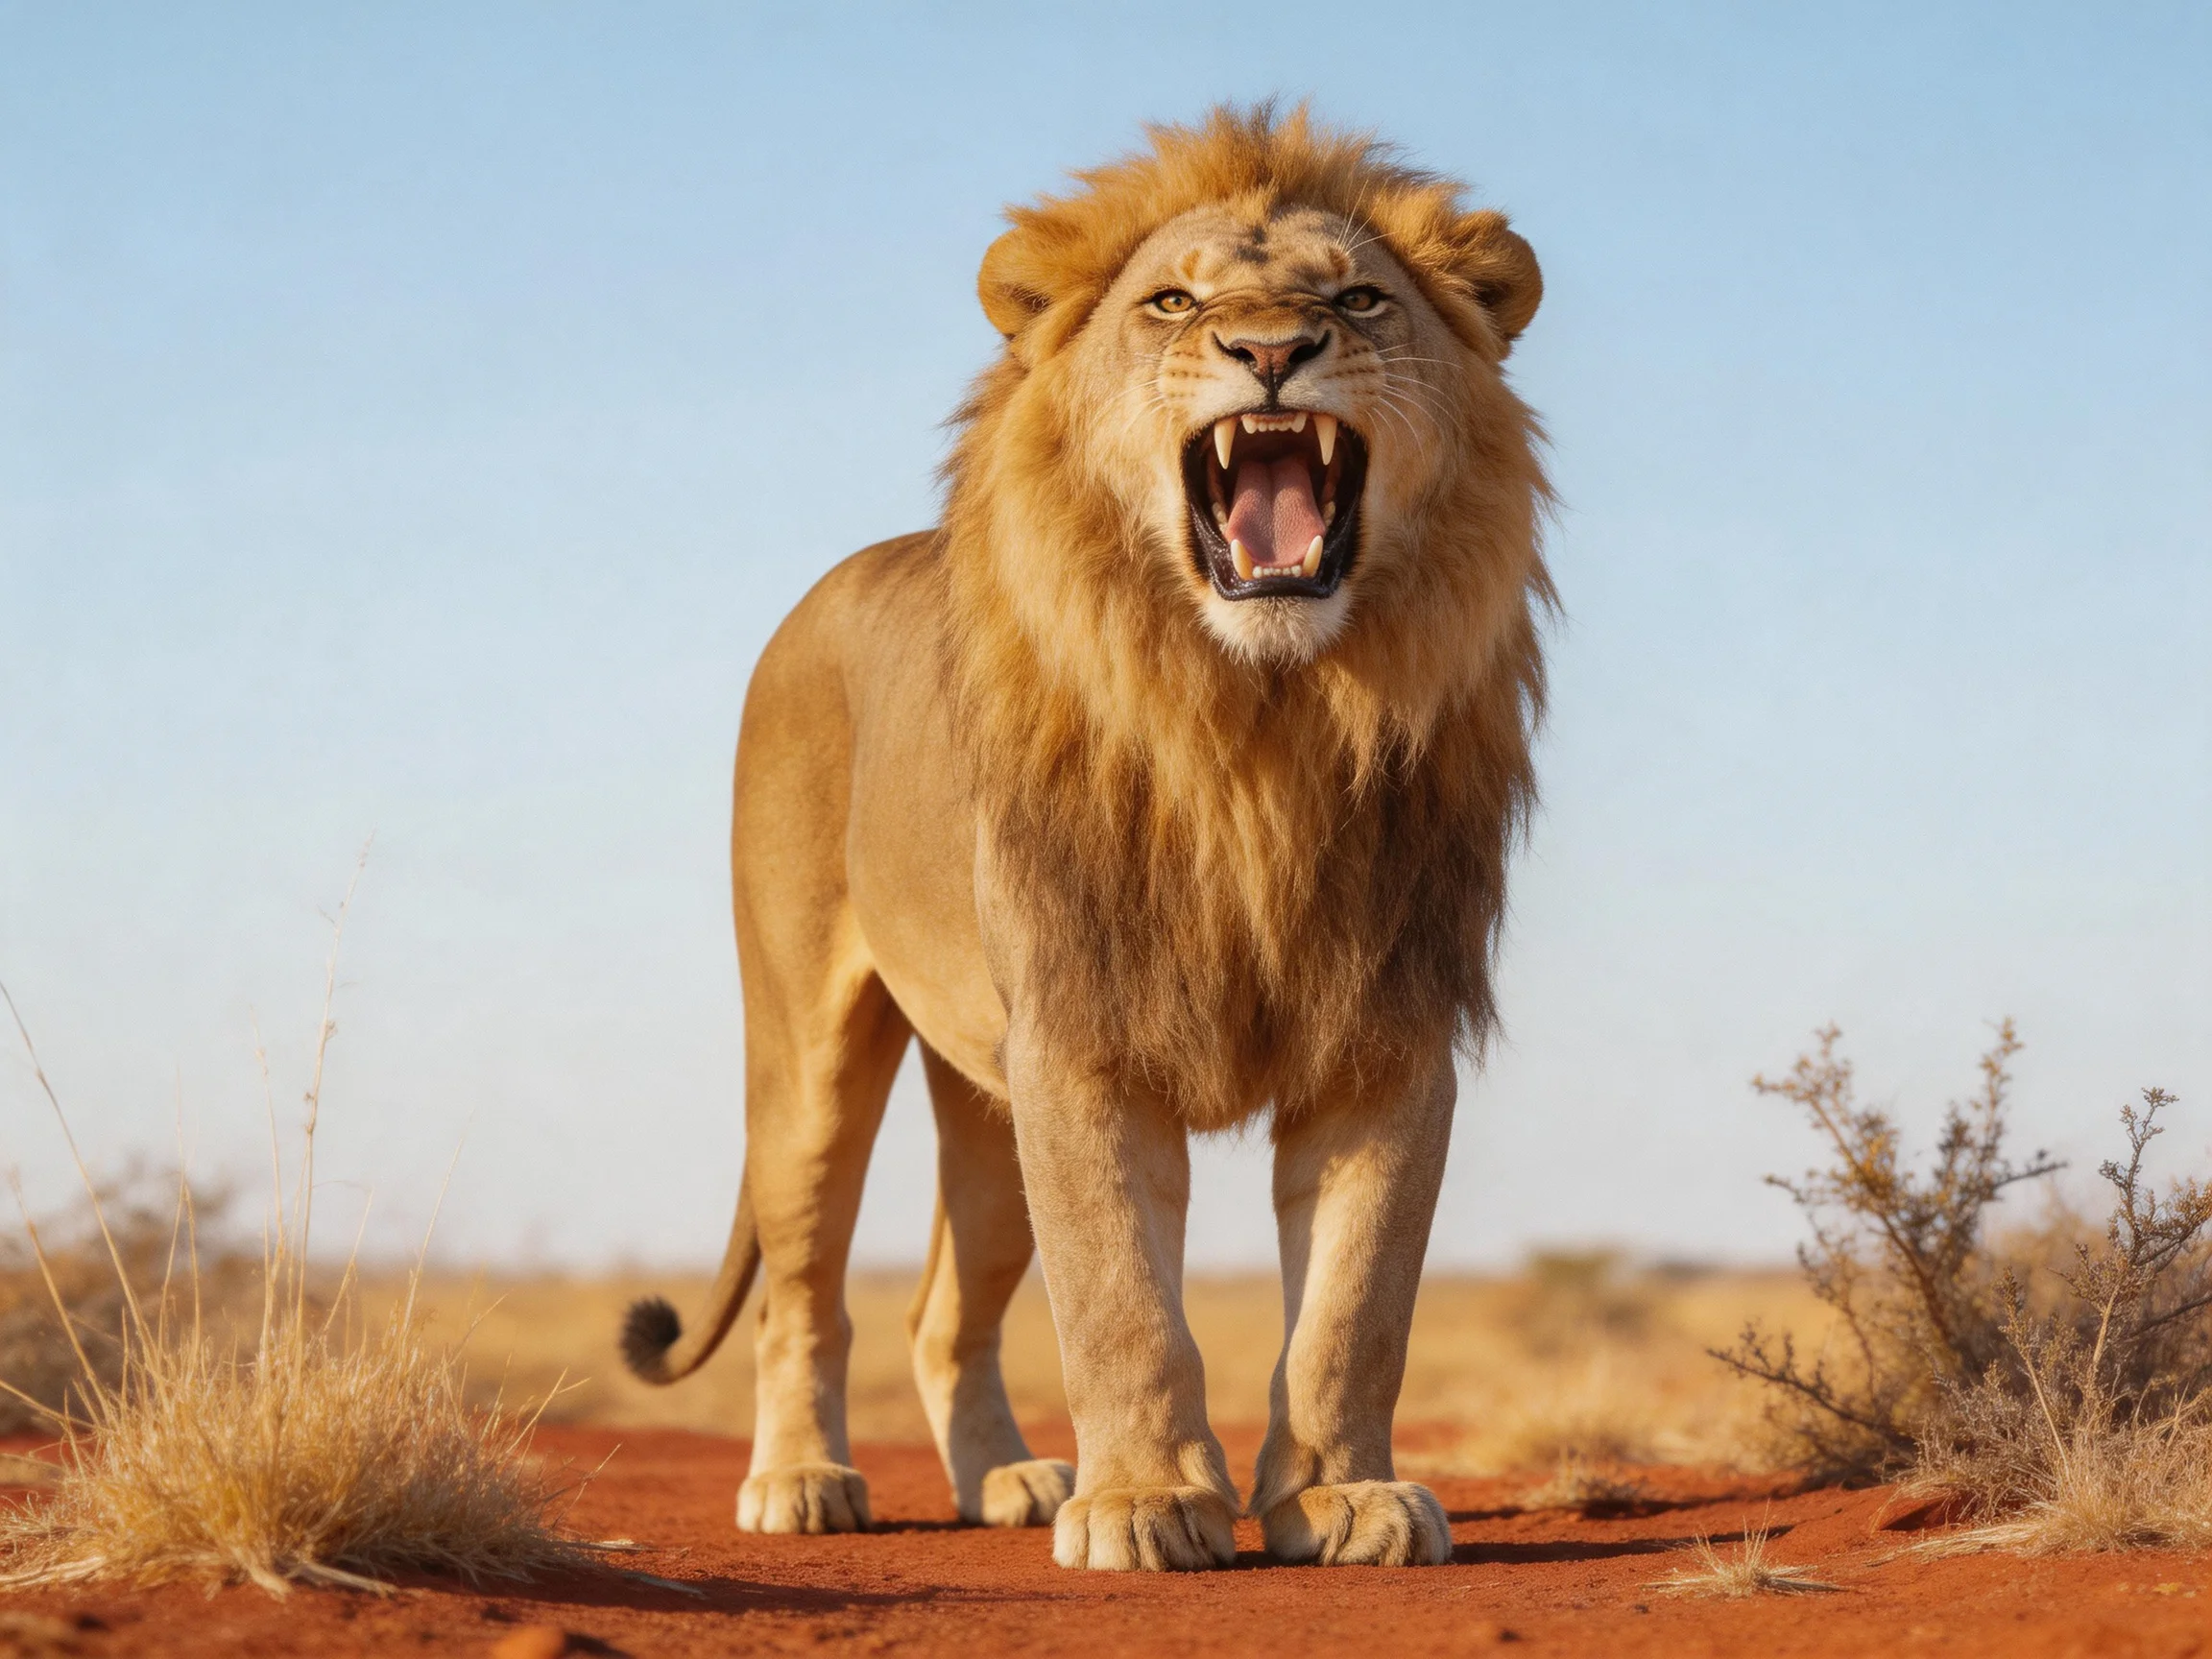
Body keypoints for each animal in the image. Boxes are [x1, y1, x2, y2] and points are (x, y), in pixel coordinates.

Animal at [620, 103, 1552, 1571]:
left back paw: (1003, 1477)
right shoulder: (1083, 1037)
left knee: (944, 1311)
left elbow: (1355, 1305)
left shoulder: (1387, 1029)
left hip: (987, 1100)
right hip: (809, 1057)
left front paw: (1340, 1497)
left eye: (1357, 298)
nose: (1271, 350)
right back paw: (802, 1483)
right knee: (807, 1289)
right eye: (1173, 301)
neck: (1262, 721)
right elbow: (1122, 1299)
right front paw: (1146, 1503)